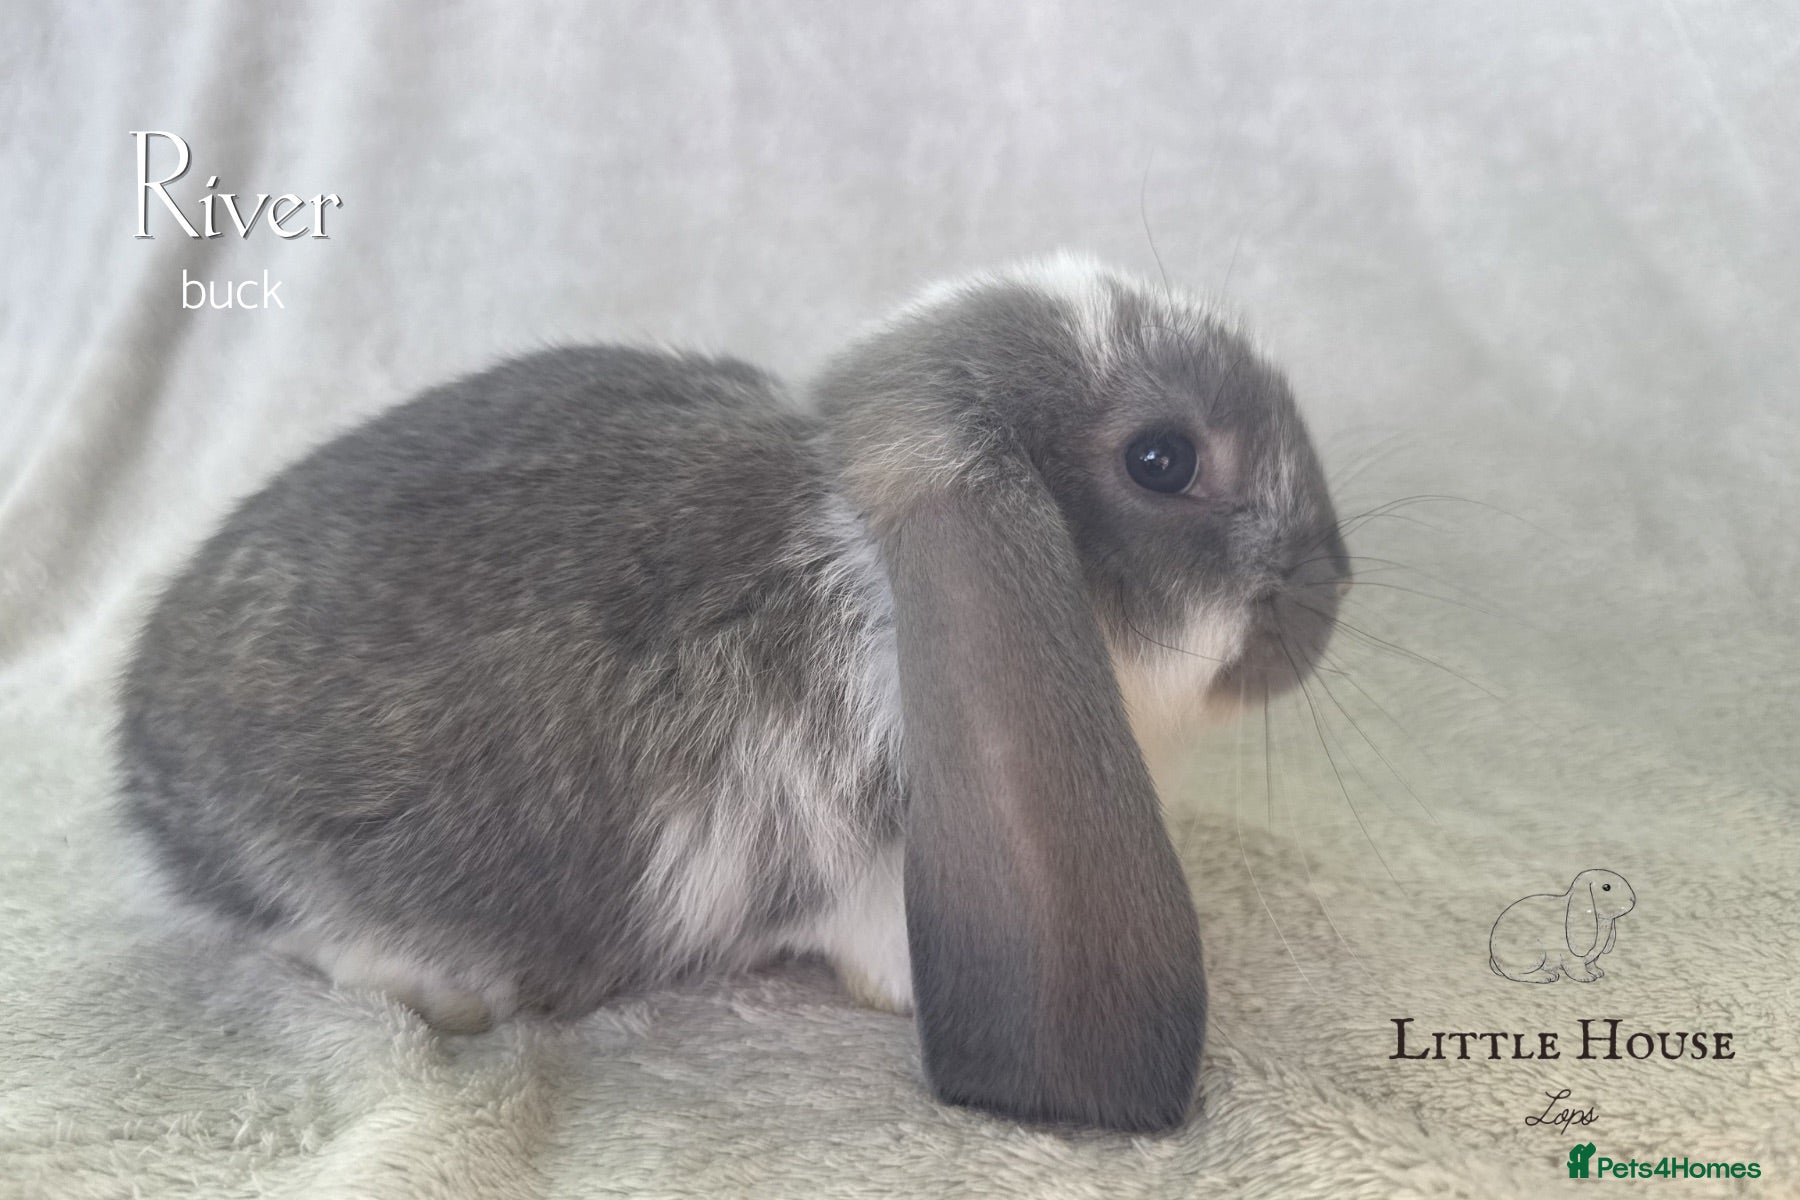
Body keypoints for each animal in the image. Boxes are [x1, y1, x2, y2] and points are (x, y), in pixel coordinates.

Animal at [1489, 869, 1636, 984]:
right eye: (1606, 887)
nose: (1633, 900)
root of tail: (1495, 958)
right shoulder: (1572, 957)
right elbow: (1576, 967)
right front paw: (1587, 977)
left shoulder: (1592, 958)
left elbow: (1591, 964)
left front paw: (1598, 972)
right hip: (1535, 954)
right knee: (1514, 973)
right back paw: (1545, 977)